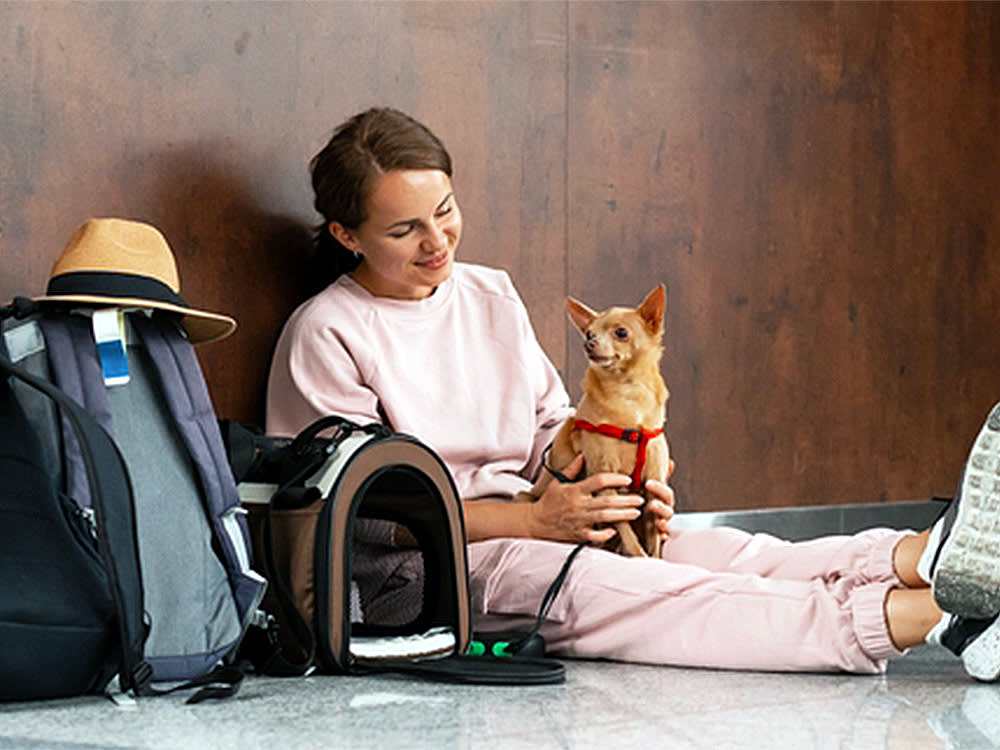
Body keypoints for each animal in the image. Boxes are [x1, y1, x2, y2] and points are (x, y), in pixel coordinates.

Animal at [520, 288, 668, 560]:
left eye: (621, 332)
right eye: (589, 333)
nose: (588, 343)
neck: (628, 394)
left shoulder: (655, 489)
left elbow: (653, 538)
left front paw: (656, 559)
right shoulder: (606, 485)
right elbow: (626, 529)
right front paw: (640, 558)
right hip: (526, 498)